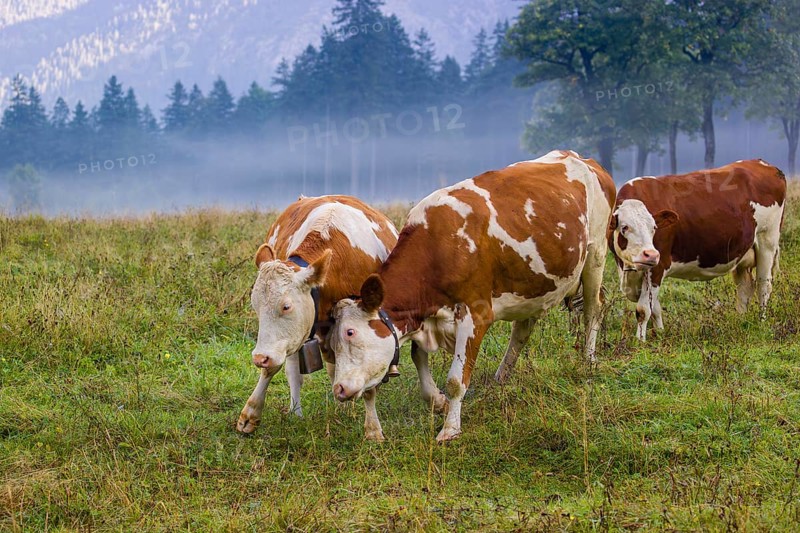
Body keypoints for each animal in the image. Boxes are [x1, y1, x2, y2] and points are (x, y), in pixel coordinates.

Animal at [236, 195, 399, 440]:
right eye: (255, 306)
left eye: (286, 306)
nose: (258, 357)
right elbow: (272, 368)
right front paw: (250, 414)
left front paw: (373, 430)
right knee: (295, 371)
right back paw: (297, 411)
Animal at [325, 150, 616, 442]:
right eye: (332, 342)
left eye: (350, 332)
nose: (338, 389)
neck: (437, 248)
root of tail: (581, 158)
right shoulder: (423, 316)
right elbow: (419, 357)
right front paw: (437, 401)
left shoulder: (475, 314)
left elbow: (456, 380)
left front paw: (450, 430)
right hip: (533, 285)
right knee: (522, 330)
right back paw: (501, 376)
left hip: (596, 253)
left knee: (593, 309)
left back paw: (588, 360)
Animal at [608, 160, 786, 341]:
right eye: (624, 227)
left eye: (654, 228)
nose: (650, 255)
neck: (628, 269)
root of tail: (761, 163)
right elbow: (655, 307)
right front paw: (660, 334)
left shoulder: (659, 265)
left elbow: (643, 309)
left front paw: (640, 341)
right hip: (743, 253)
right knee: (744, 287)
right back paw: (741, 321)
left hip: (767, 241)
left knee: (764, 285)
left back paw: (761, 323)